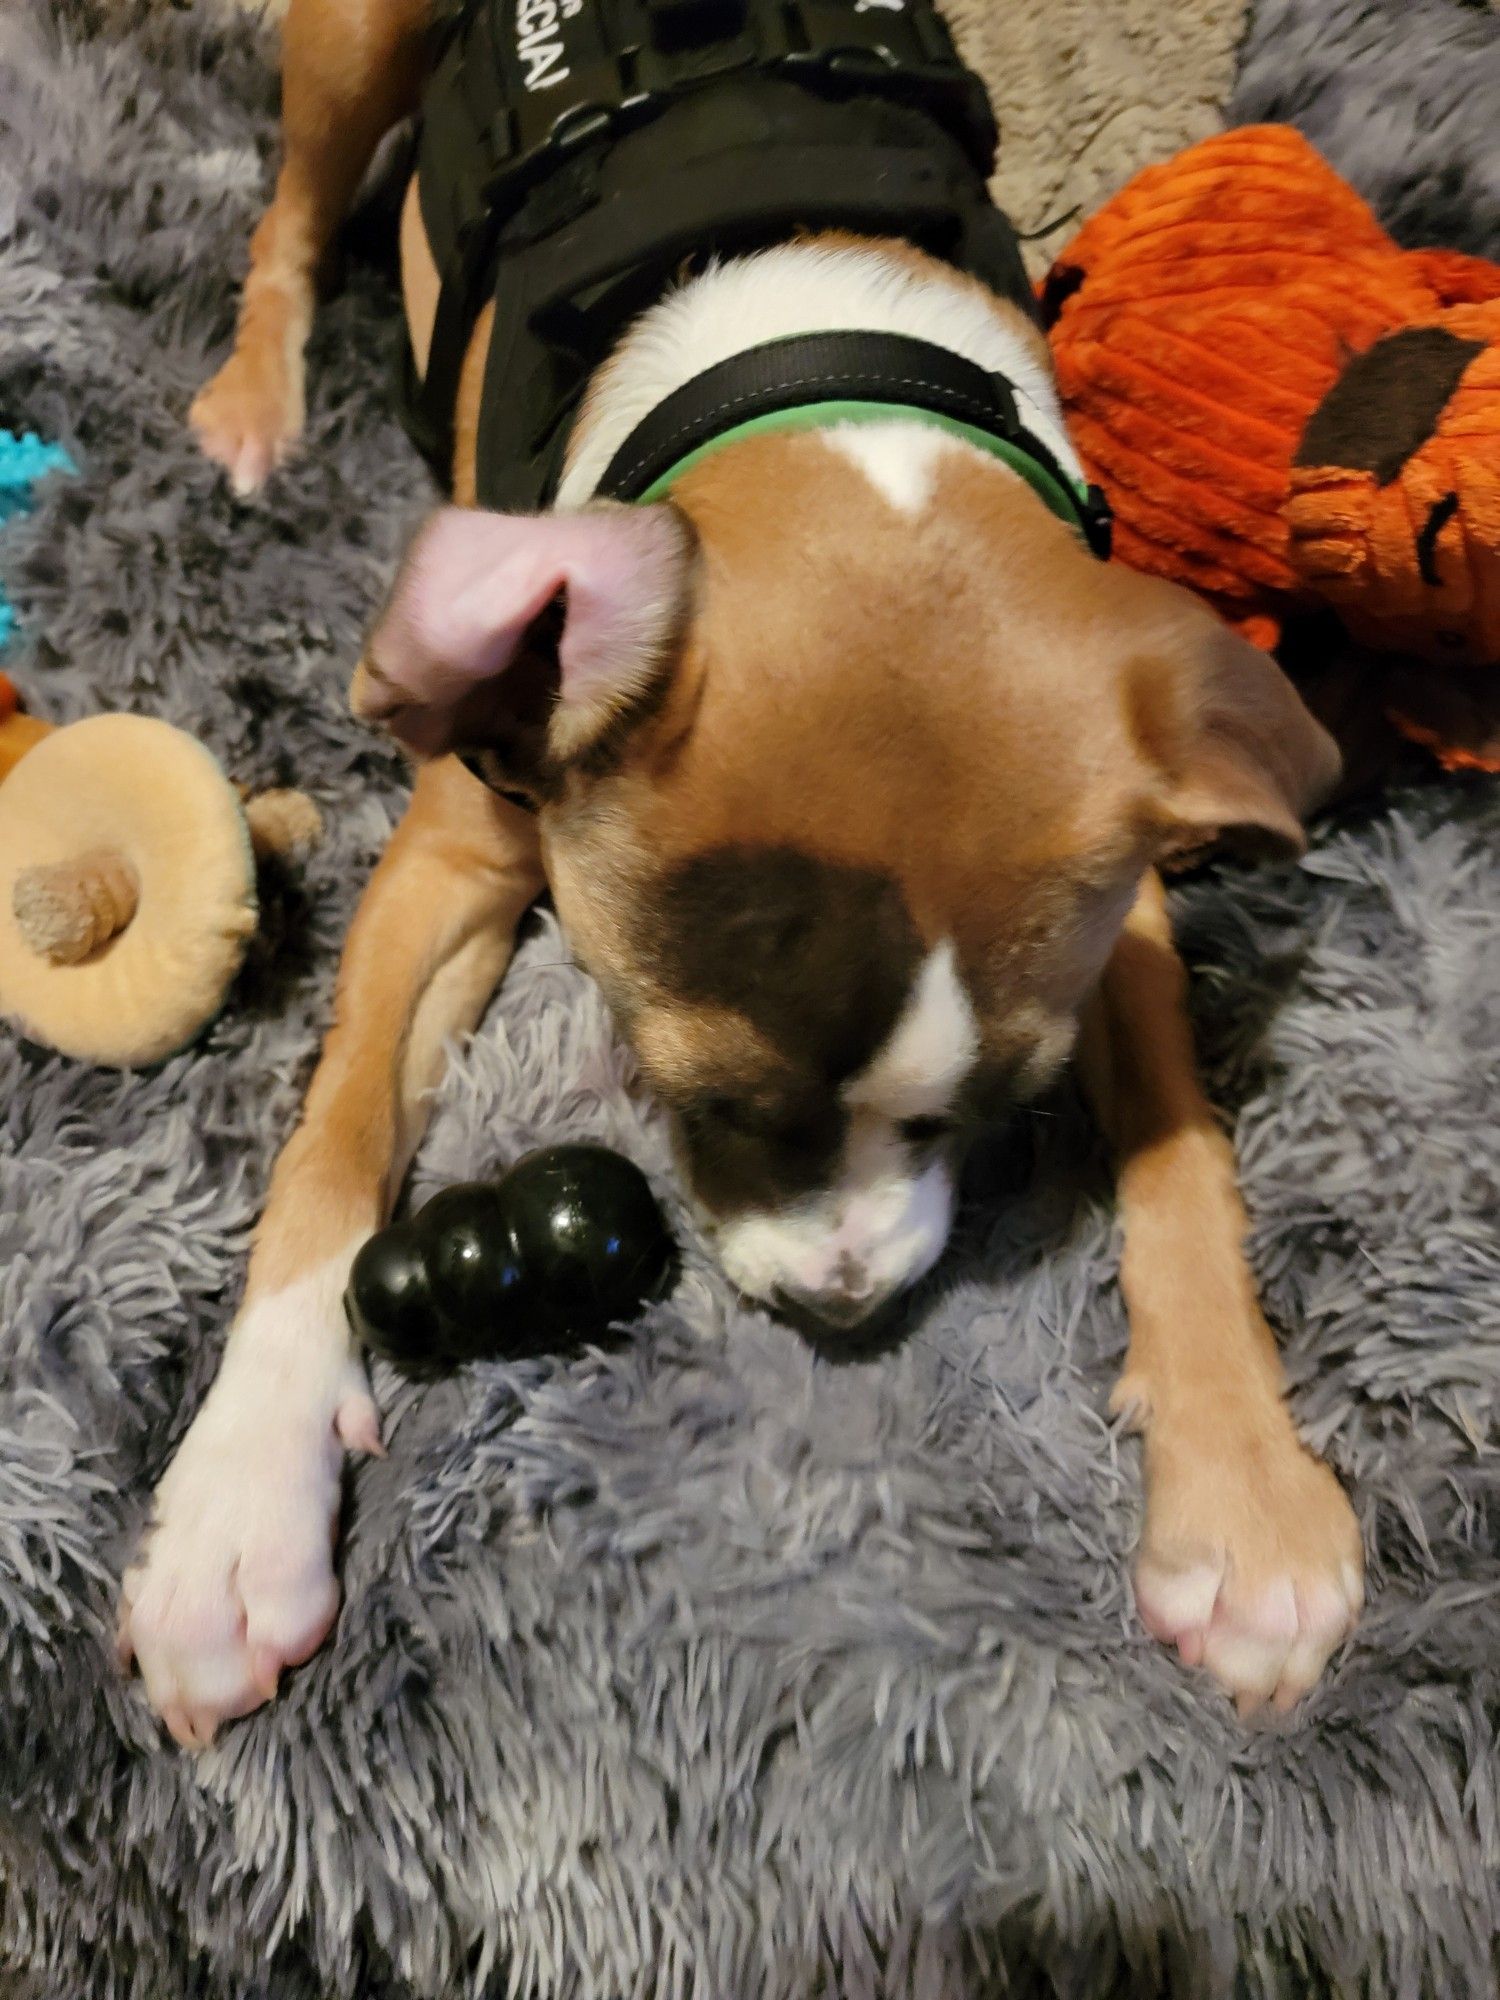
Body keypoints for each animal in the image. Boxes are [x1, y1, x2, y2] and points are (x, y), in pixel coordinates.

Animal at [117, 0, 1368, 1744]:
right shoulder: (449, 855)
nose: (844, 1309)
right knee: (288, 219)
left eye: (1013, 1108)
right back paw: (255, 398)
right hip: (352, 45)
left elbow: (1188, 1159)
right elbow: (331, 1144)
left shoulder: (1125, 918)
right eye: (696, 1096)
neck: (808, 369)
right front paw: (237, 1510)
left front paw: (1246, 1502)